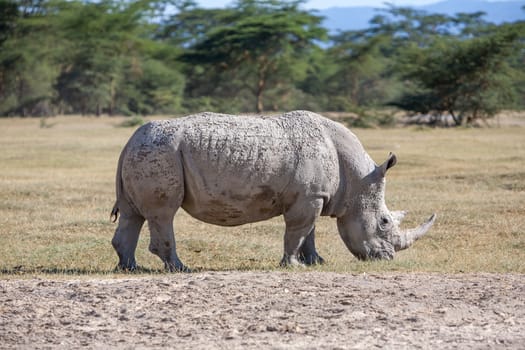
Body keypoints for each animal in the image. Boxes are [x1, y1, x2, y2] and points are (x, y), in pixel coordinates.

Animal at [110, 110, 434, 272]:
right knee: (163, 213)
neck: (358, 179)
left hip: (147, 151)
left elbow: (309, 233)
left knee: (132, 214)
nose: (387, 258)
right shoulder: (309, 197)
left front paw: (316, 263)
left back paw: (130, 269)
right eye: (384, 222)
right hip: (160, 152)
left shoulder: (313, 195)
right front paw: (292, 266)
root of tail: (130, 138)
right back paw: (180, 269)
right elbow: (297, 231)